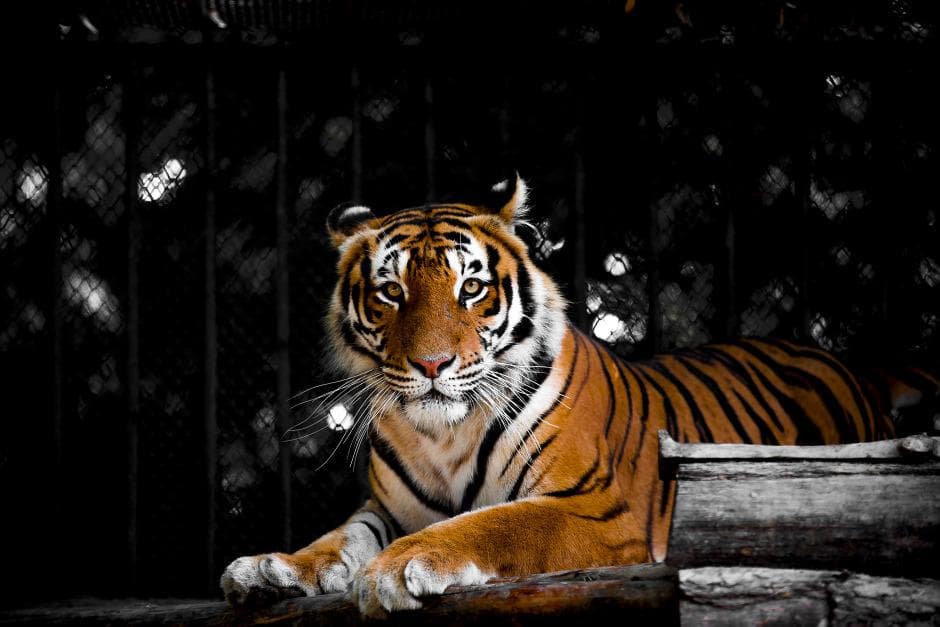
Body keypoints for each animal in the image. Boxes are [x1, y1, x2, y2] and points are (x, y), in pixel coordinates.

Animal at [221, 176, 936, 617]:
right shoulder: (385, 508)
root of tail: (852, 366)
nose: (431, 364)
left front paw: (401, 567)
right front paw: (269, 569)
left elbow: (492, 523)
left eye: (471, 288)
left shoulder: (594, 505)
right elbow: (338, 539)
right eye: (392, 292)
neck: (443, 435)